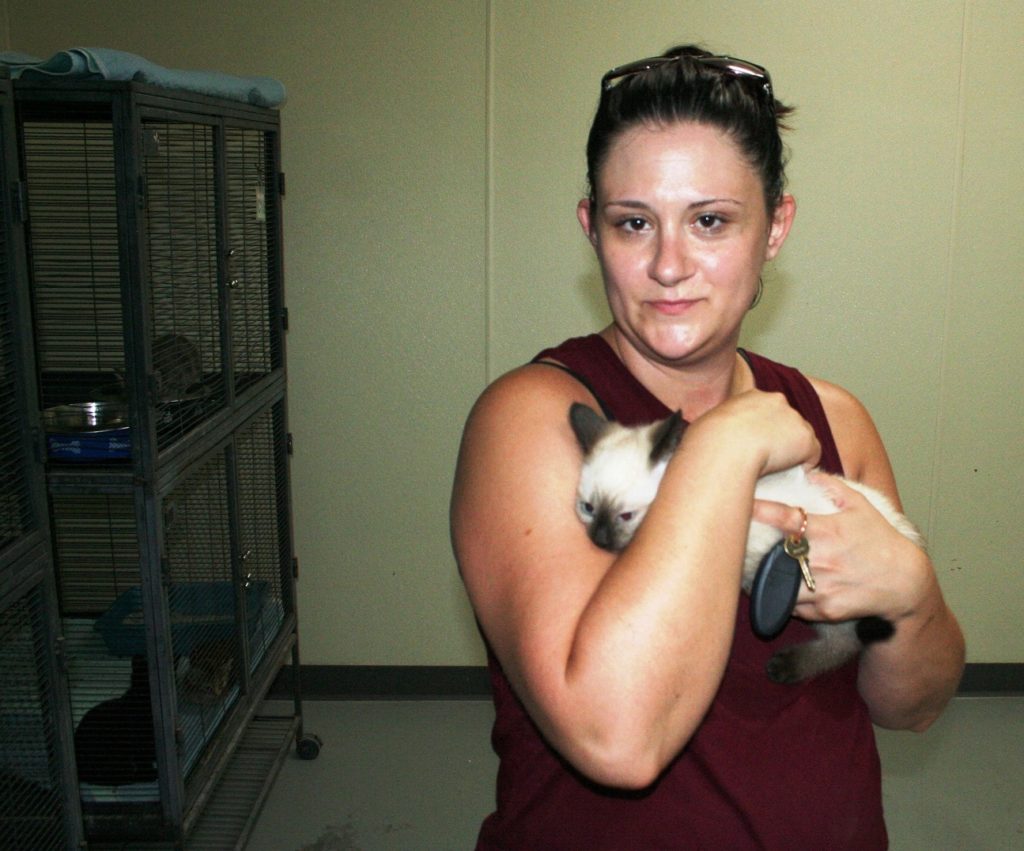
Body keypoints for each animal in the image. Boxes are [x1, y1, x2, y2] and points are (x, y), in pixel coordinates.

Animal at [565, 403, 925, 684]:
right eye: (588, 508)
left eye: (625, 515)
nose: (598, 540)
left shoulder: (760, 554)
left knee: (850, 643)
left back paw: (787, 667)